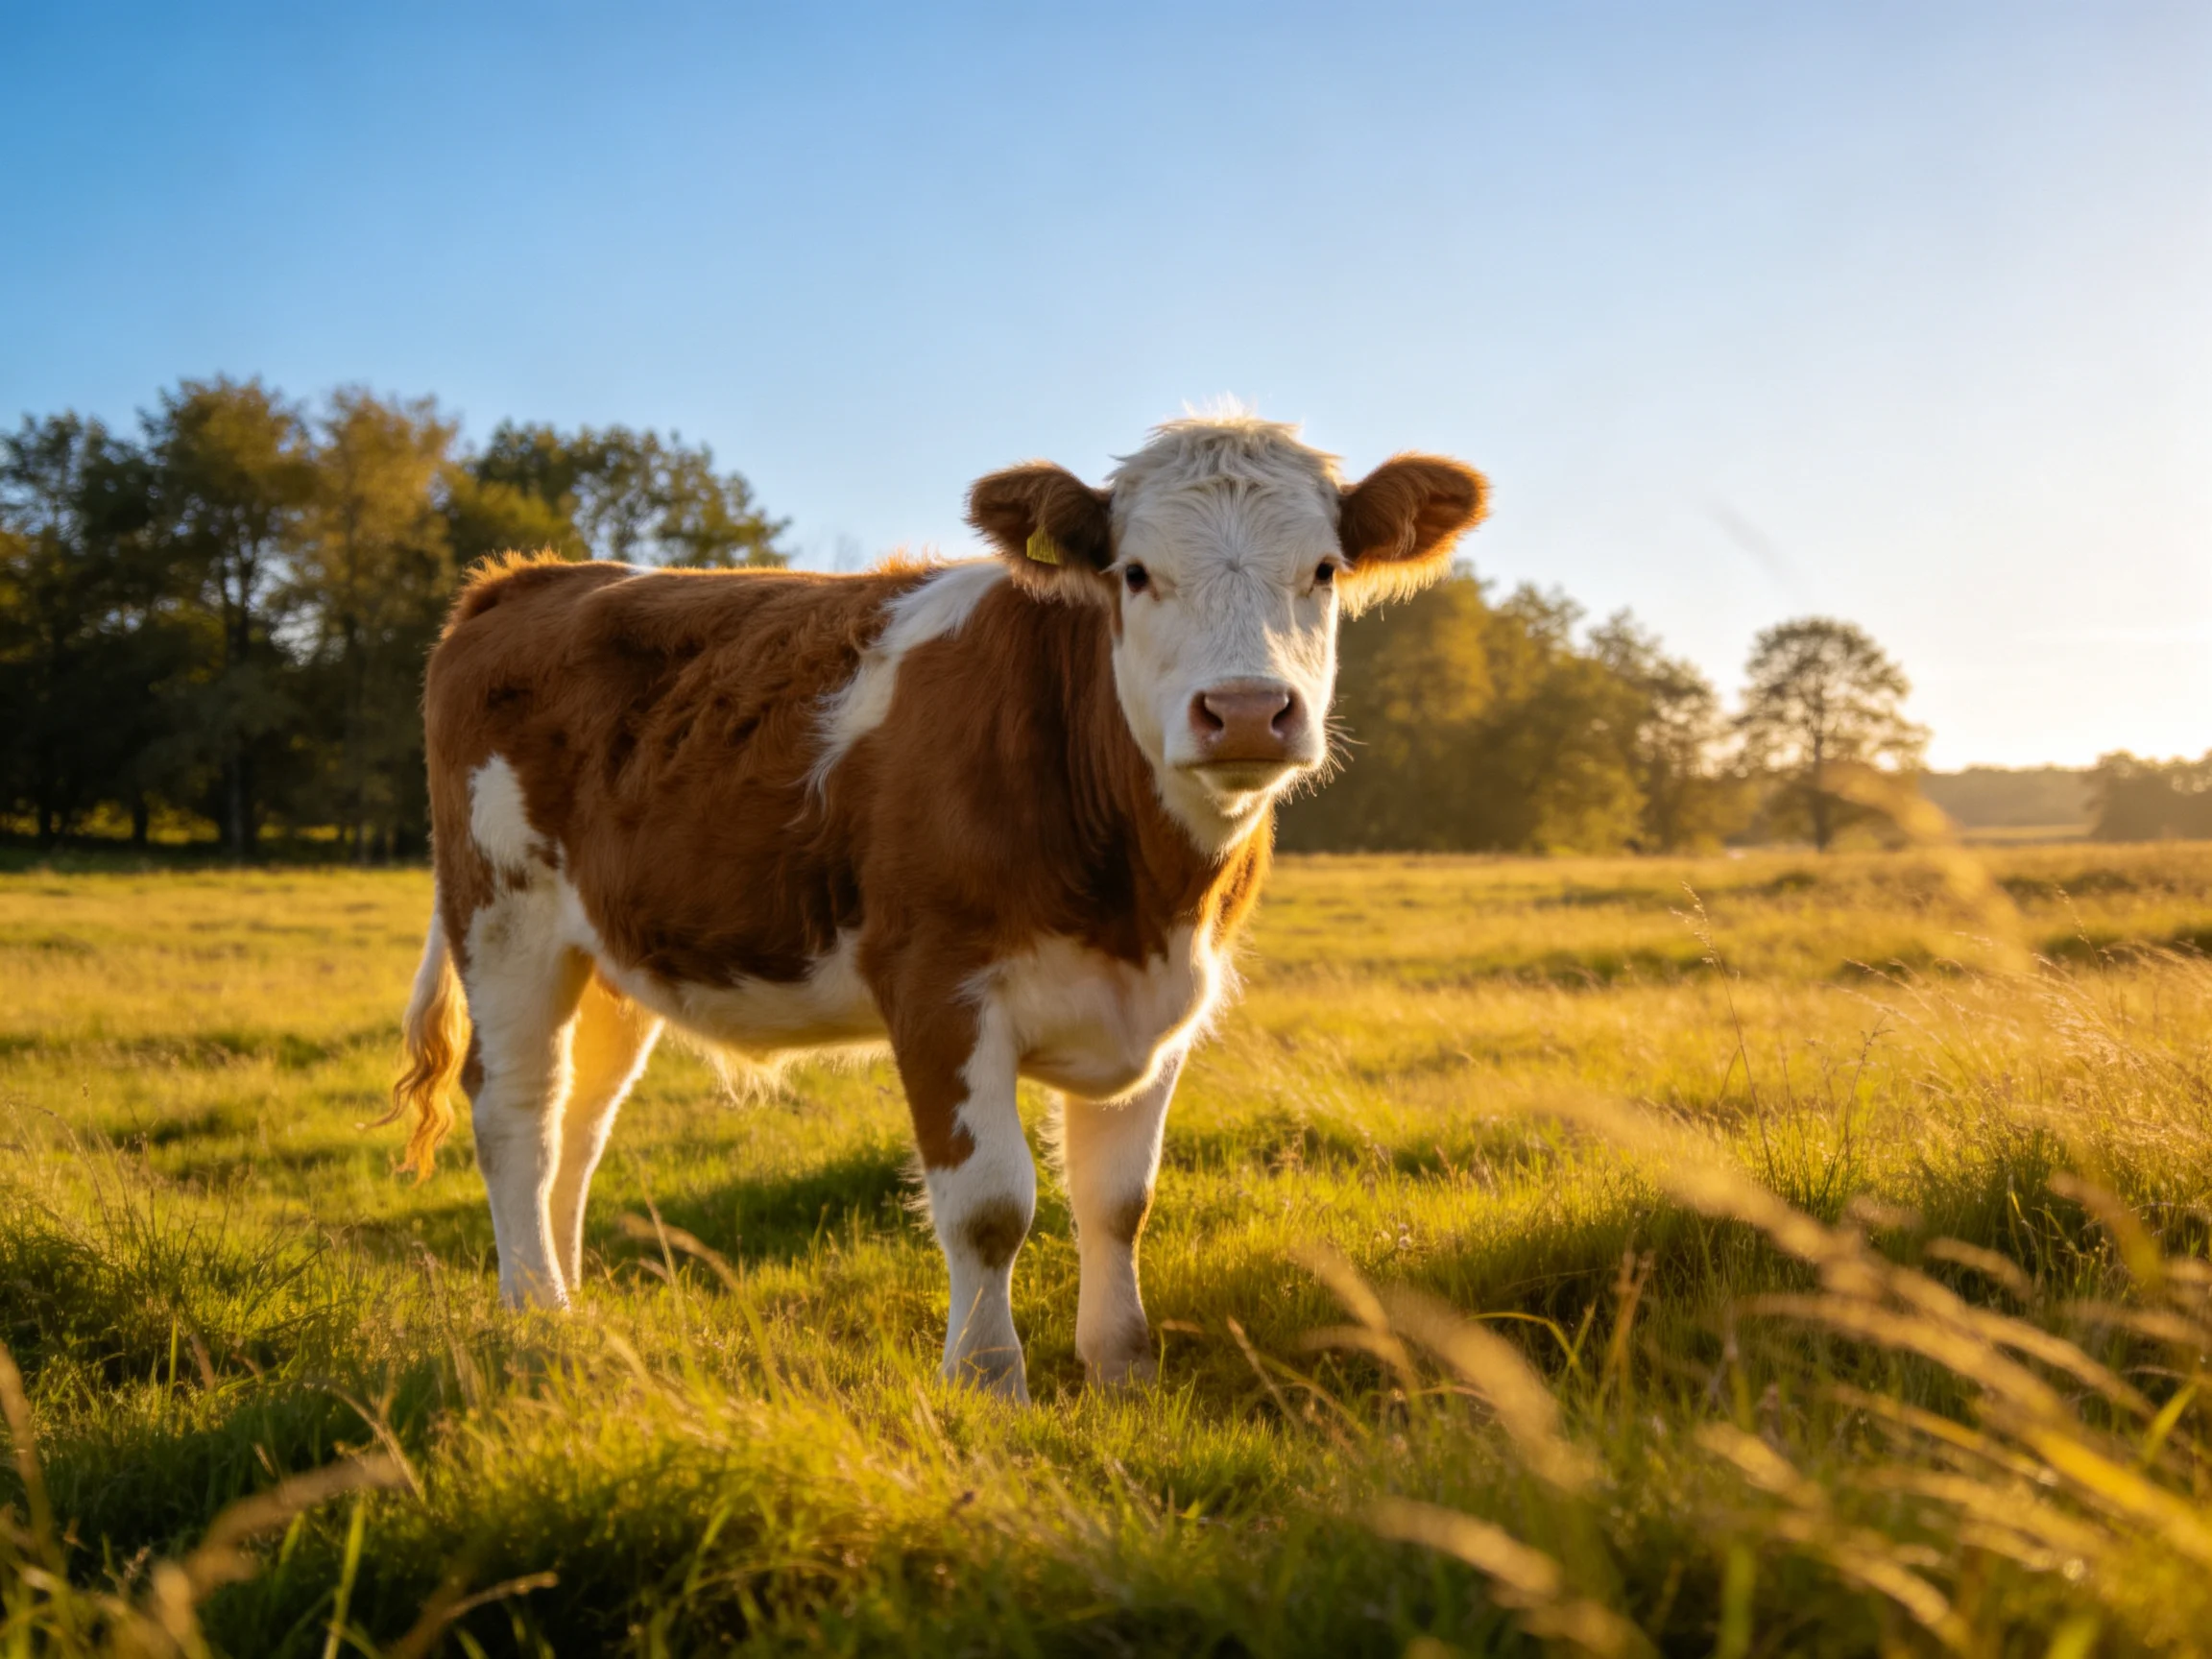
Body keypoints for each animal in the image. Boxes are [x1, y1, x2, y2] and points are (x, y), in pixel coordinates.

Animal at [385, 411, 1485, 1399]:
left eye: (1325, 570)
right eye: (1134, 573)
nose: (1247, 710)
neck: (1139, 897)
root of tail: (534, 576)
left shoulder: (1166, 1002)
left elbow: (1118, 1200)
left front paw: (1122, 1372)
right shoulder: (938, 987)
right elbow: (990, 1205)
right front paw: (990, 1380)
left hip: (609, 953)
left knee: (580, 1118)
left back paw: (574, 1306)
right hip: (504, 919)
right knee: (517, 1111)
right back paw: (534, 1315)